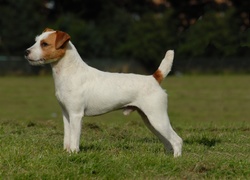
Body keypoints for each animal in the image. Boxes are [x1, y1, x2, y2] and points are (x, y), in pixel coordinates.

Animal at [24, 28, 183, 158]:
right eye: (36, 40)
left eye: (44, 44)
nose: (26, 52)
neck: (70, 72)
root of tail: (154, 78)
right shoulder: (66, 114)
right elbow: (67, 137)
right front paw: (67, 153)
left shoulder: (76, 115)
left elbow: (75, 138)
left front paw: (74, 153)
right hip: (150, 121)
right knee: (167, 141)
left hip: (157, 118)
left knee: (177, 140)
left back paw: (176, 159)